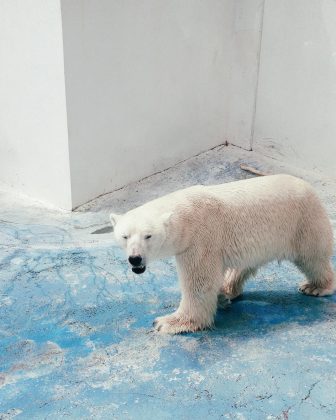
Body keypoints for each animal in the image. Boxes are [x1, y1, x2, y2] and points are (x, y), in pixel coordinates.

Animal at [110, 174, 334, 334]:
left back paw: (315, 287)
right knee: (242, 266)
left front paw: (166, 322)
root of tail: (309, 188)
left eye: (148, 236)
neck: (185, 216)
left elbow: (199, 282)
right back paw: (226, 291)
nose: (135, 259)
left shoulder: (201, 239)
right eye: (125, 236)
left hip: (303, 223)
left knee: (313, 258)